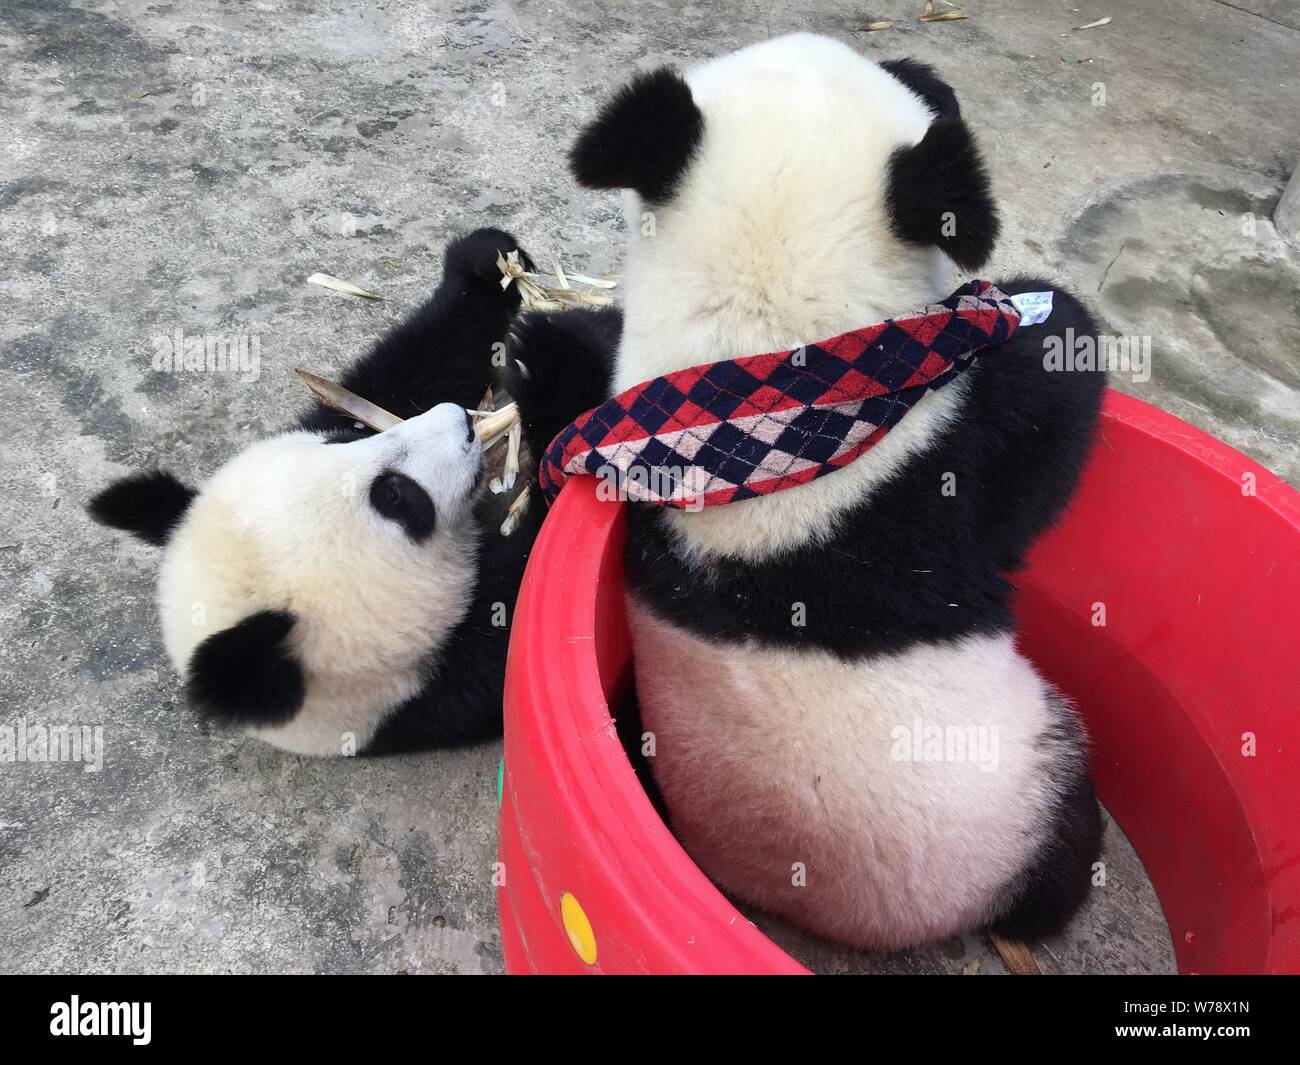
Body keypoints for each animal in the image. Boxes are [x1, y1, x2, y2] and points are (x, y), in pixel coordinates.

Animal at [89, 228, 546, 758]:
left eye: (341, 441)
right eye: (394, 497)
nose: (461, 422)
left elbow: (402, 374)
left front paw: (489, 263)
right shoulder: (441, 690)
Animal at [504, 35, 1107, 950]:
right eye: (921, 91)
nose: (929, 67)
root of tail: (810, 906)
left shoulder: (632, 429)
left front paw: (538, 341)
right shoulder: (936, 464)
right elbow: (1041, 426)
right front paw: (1045, 314)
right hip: (1018, 798)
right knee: (1066, 838)